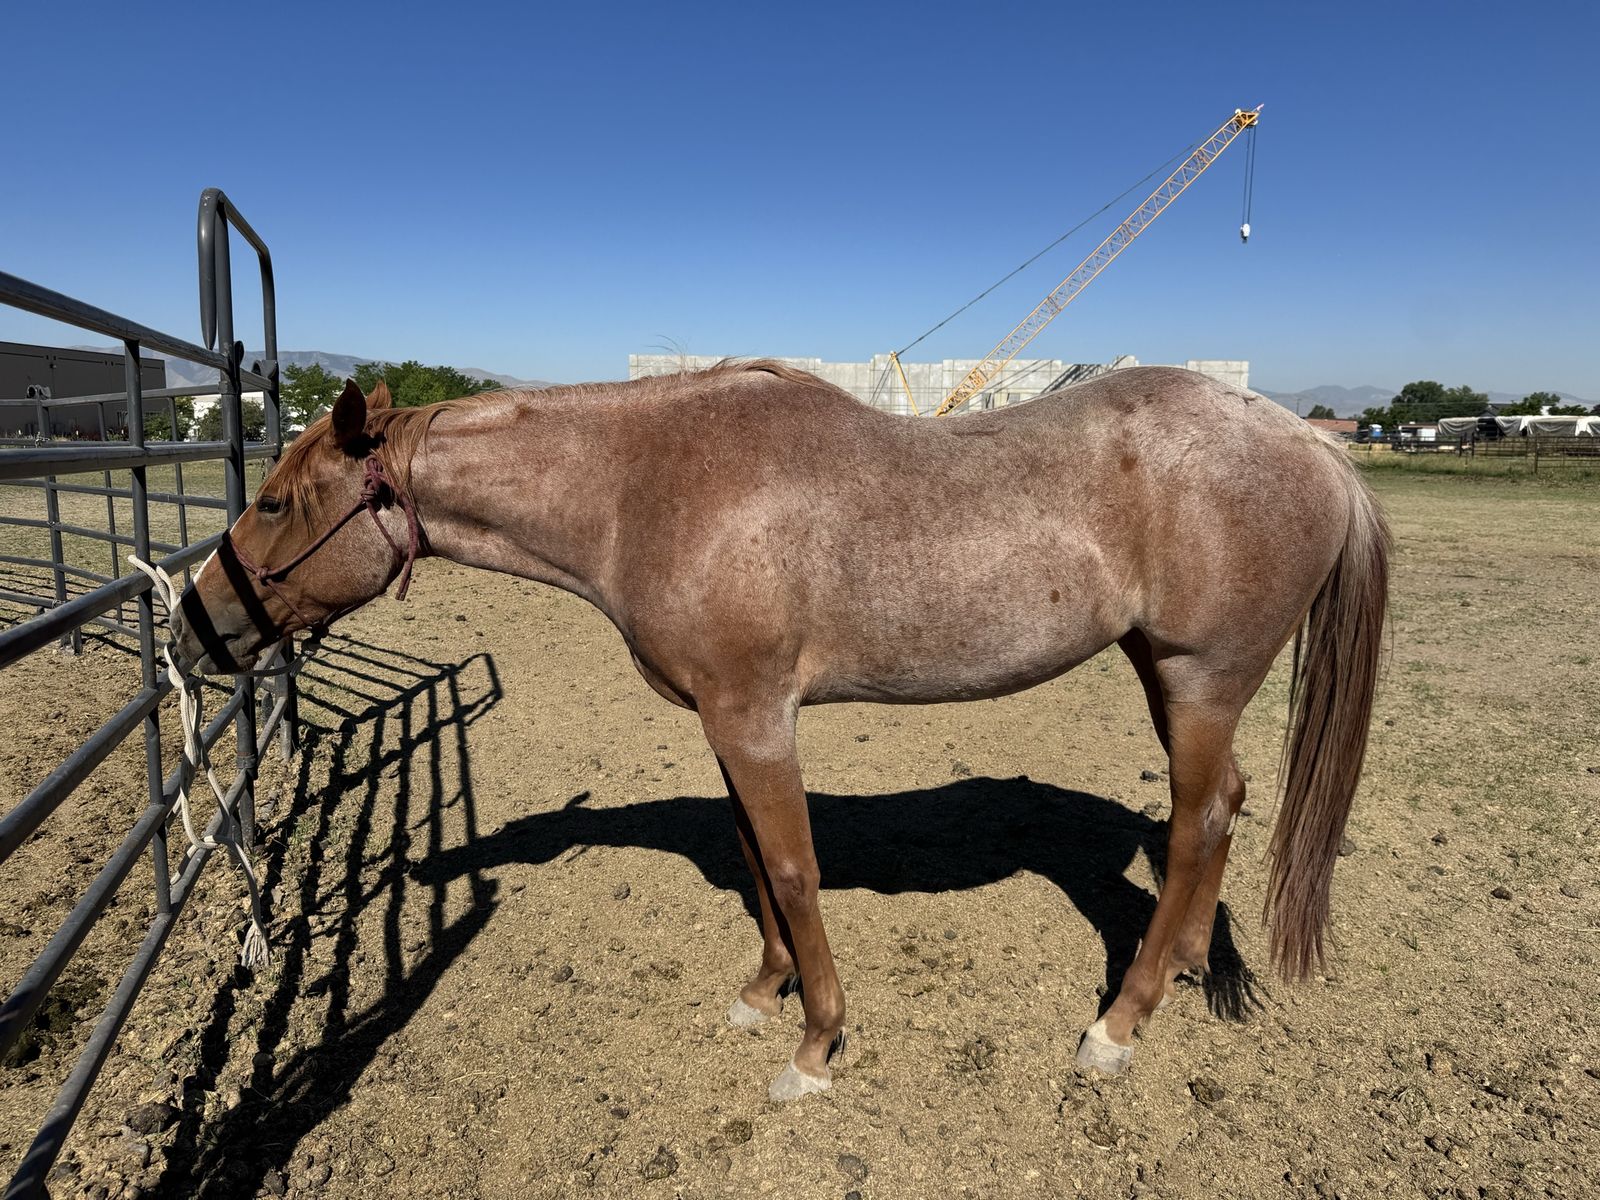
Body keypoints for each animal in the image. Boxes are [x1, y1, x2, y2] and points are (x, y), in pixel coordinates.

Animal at [170, 361, 1388, 1100]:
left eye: (274, 502)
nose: (193, 623)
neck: (645, 488)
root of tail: (1314, 447)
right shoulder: (724, 719)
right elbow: (756, 863)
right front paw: (765, 996)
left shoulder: (758, 717)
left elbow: (797, 871)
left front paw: (816, 1045)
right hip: (1165, 674)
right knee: (1220, 812)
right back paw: (1179, 960)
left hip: (1201, 677)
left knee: (1196, 822)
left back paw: (1117, 1027)